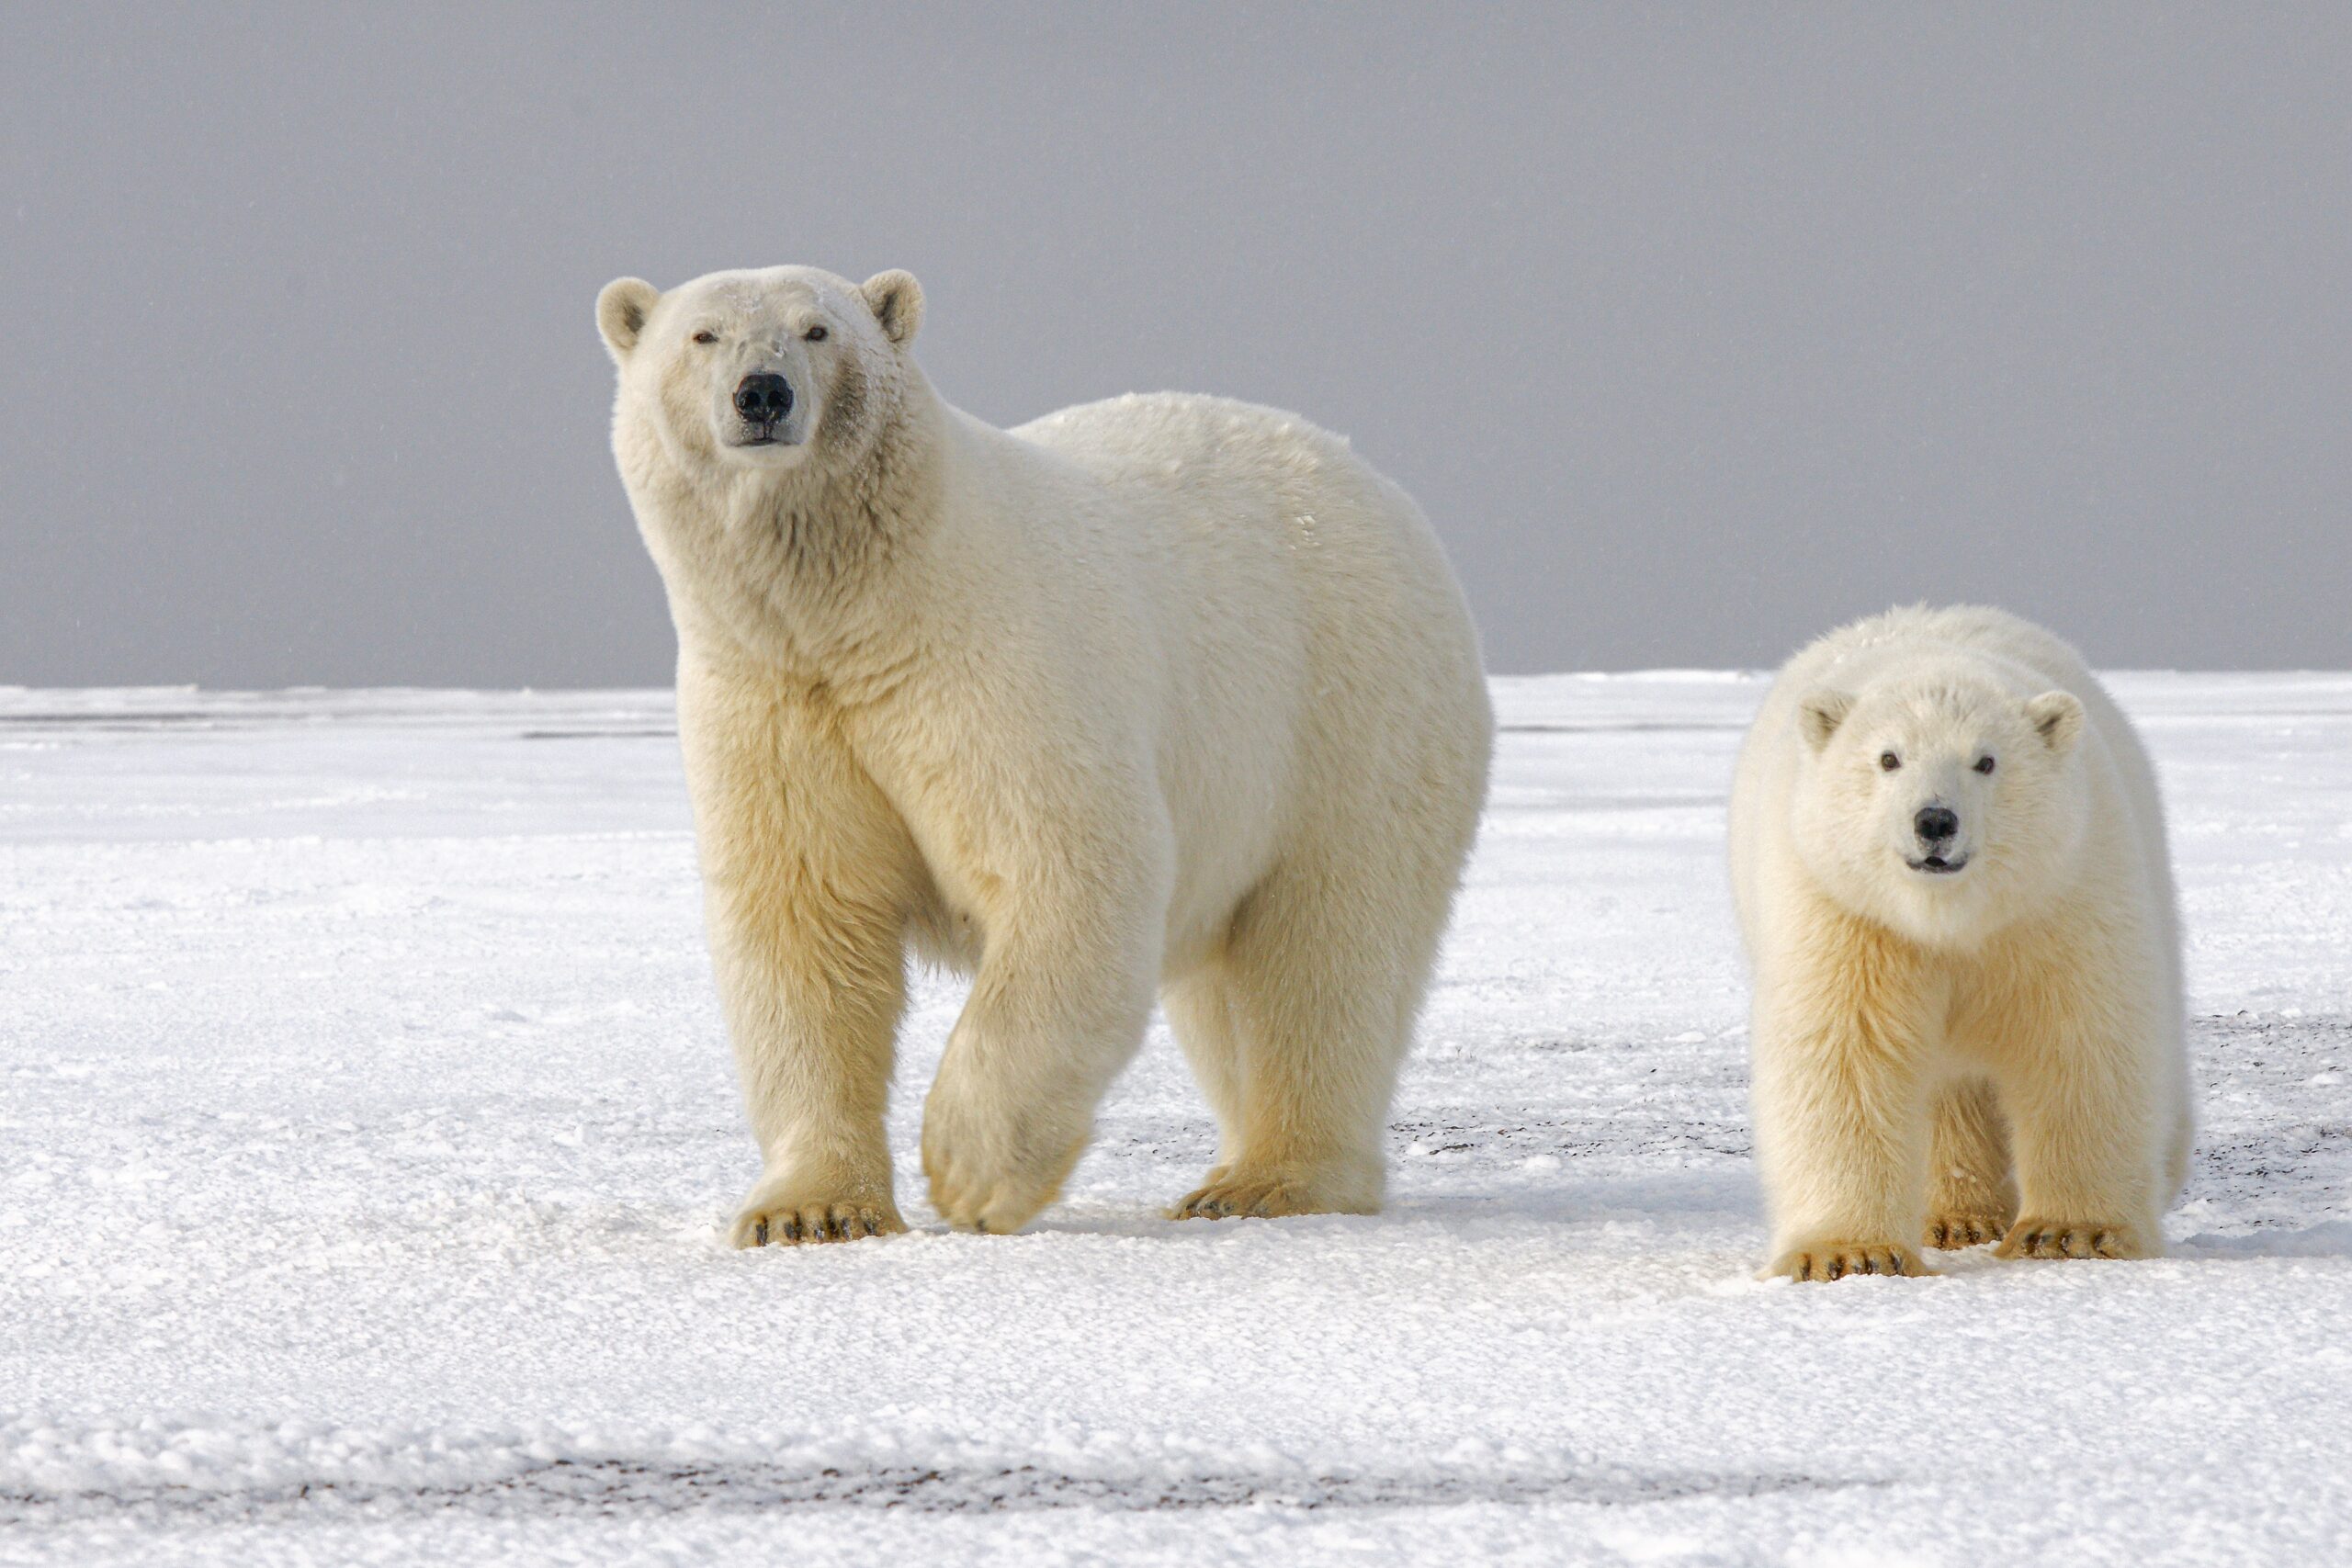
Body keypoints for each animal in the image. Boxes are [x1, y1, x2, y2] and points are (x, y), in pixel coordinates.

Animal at [595, 265, 1493, 1244]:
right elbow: (806, 922)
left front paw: (968, 1170)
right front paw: (809, 1210)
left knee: (1324, 949)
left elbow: (1069, 866)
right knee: (1228, 989)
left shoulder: (992, 665)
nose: (763, 393)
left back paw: (1269, 1179)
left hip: (1346, 715)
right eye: (704, 335)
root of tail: (1379, 486)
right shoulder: (771, 700)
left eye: (817, 329)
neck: (862, 610)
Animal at [1727, 605, 2191, 1280]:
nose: (1935, 820)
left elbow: (2081, 1039)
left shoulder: (2059, 898)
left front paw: (2069, 1232)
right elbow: (1845, 1053)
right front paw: (1849, 1252)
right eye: (1888, 757)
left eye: (1986, 761)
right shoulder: (1846, 913)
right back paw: (1957, 1218)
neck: (1951, 919)